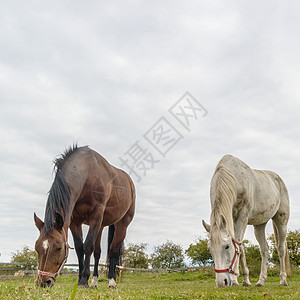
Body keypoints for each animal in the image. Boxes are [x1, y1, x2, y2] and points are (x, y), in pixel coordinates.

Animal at [33, 145, 135, 288]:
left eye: (59, 248)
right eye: (37, 247)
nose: (43, 282)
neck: (87, 173)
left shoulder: (95, 216)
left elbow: (87, 246)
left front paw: (83, 280)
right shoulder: (75, 222)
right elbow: (80, 248)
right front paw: (82, 278)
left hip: (121, 224)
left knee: (113, 251)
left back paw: (111, 281)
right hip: (101, 225)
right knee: (98, 253)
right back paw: (94, 281)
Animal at [203, 156, 290, 288]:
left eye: (227, 246)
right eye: (210, 249)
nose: (221, 282)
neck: (234, 178)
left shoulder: (242, 216)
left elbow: (238, 245)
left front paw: (235, 279)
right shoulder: (232, 219)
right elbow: (240, 247)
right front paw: (245, 280)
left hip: (281, 221)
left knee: (281, 249)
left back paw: (283, 280)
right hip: (259, 225)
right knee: (265, 250)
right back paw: (261, 281)